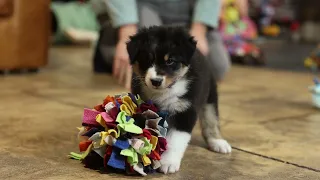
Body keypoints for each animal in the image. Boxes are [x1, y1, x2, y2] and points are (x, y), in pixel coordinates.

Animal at [126, 26, 231, 174]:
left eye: (170, 61)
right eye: (147, 60)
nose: (156, 81)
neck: (165, 91)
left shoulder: (185, 111)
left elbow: (175, 140)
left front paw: (168, 162)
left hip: (210, 95)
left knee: (211, 119)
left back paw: (218, 142)